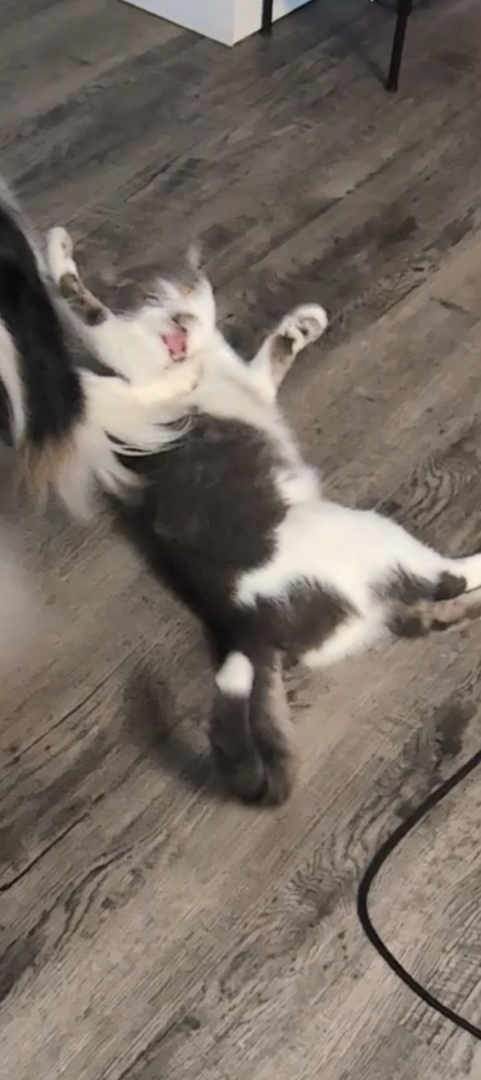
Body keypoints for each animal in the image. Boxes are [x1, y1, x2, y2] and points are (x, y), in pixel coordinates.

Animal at [49, 226, 481, 806]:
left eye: (188, 289)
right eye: (154, 296)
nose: (181, 321)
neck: (196, 357)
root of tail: (250, 625)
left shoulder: (248, 381)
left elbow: (271, 356)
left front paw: (304, 324)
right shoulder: (128, 364)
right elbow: (85, 308)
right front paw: (56, 251)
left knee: (426, 616)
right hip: (366, 531)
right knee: (446, 578)